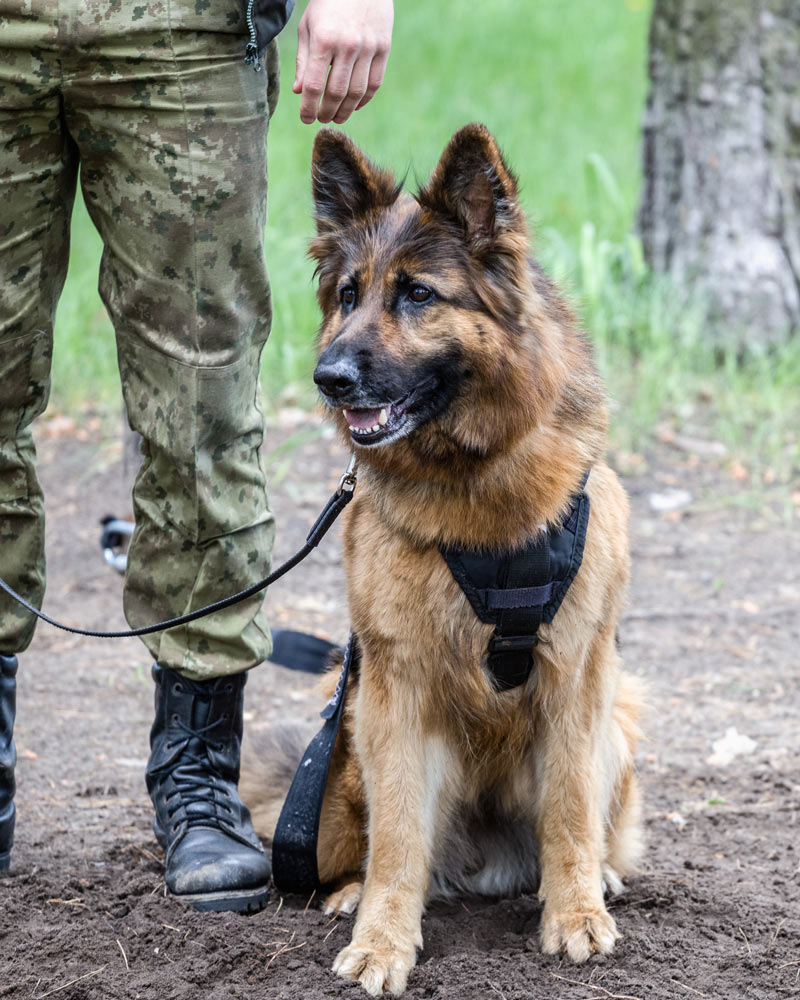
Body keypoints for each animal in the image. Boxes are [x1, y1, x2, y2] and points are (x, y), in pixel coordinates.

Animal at [241, 129, 640, 996]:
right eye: (348, 295)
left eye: (418, 295)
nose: (329, 378)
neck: (478, 492)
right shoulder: (396, 684)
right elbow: (397, 838)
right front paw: (382, 940)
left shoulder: (578, 674)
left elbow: (569, 811)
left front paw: (576, 915)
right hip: (347, 713)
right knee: (372, 844)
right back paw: (349, 892)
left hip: (622, 714)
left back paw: (598, 877)